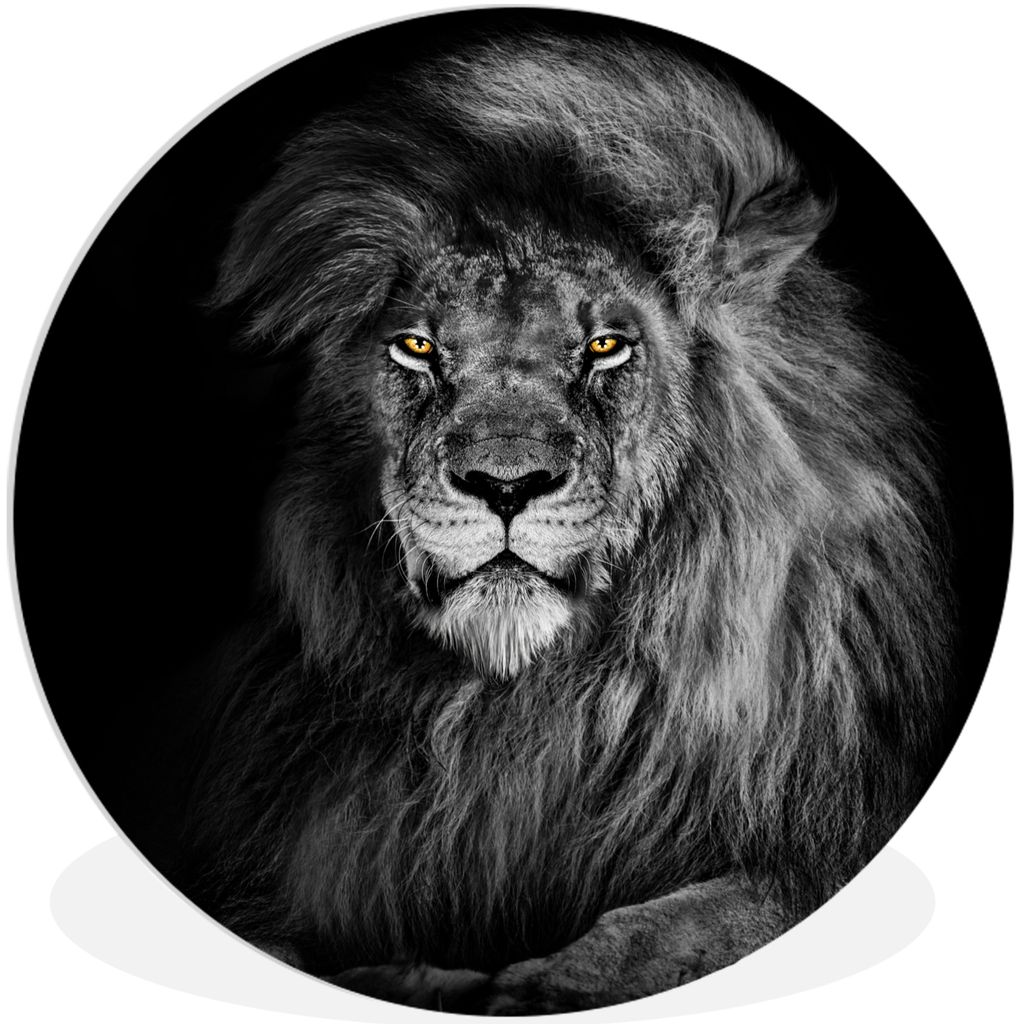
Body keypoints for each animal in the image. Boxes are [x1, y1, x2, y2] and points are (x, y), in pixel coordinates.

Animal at [179, 29, 954, 1013]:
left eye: (606, 346)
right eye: (418, 347)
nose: (505, 485)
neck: (524, 709)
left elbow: (683, 930)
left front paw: (531, 986)